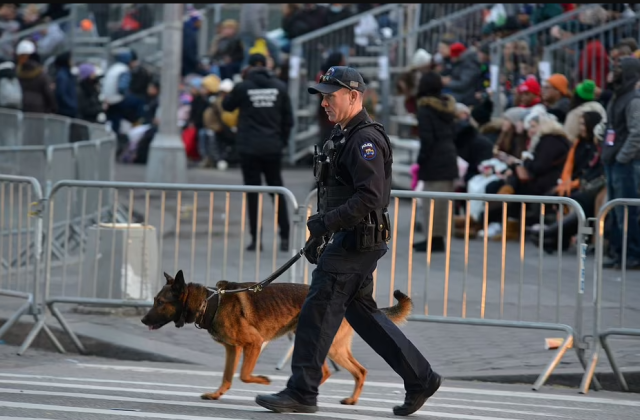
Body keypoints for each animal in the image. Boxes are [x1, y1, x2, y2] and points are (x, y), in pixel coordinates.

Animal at [141, 270, 412, 406]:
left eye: (160, 302)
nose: (143, 320)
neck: (209, 302)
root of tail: (349, 302)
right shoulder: (232, 349)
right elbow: (228, 377)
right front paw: (217, 394)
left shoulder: (253, 343)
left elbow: (244, 375)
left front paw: (263, 380)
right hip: (316, 341)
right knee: (327, 370)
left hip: (332, 348)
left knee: (360, 371)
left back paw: (349, 399)